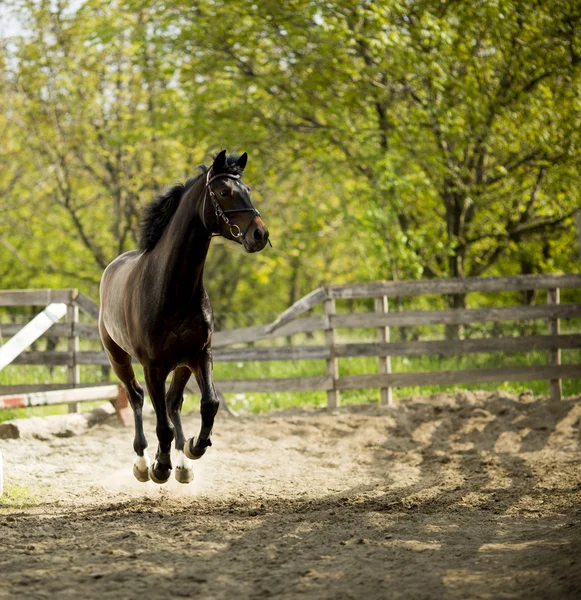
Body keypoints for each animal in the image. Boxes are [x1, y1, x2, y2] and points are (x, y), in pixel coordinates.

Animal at [98, 150, 268, 482]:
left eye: (248, 190)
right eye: (224, 192)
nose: (260, 234)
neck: (172, 288)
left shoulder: (199, 354)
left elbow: (209, 404)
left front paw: (193, 448)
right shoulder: (152, 366)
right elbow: (161, 422)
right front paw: (159, 467)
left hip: (182, 364)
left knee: (173, 401)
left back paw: (182, 463)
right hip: (119, 358)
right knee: (136, 397)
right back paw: (143, 463)